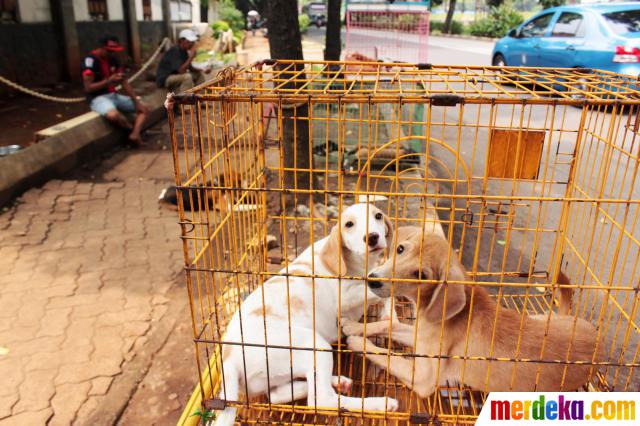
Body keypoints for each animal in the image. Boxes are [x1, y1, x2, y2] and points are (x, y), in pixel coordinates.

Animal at [218, 204, 402, 426]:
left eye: (378, 216)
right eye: (349, 224)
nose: (373, 237)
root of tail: (229, 360)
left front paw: (389, 315)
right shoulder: (345, 296)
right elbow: (379, 290)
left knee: (278, 395)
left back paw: (338, 381)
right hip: (314, 345)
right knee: (320, 399)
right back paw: (380, 403)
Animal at [344, 226, 600, 396]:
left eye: (421, 275)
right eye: (400, 249)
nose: (373, 280)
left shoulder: (424, 377)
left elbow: (387, 356)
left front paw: (359, 342)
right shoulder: (419, 336)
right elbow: (389, 324)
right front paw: (354, 327)